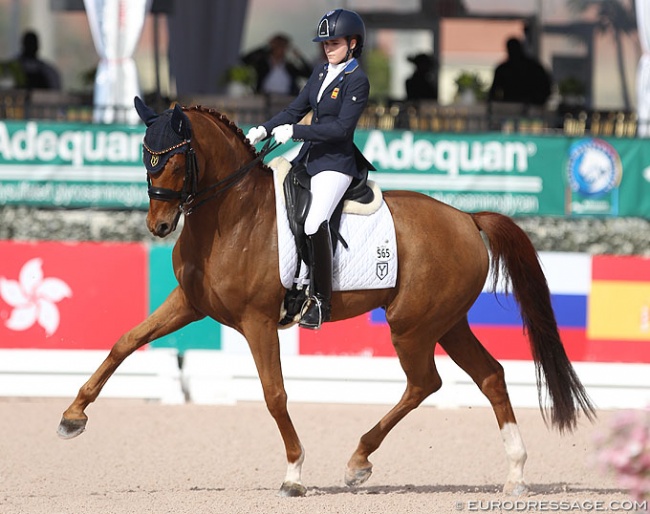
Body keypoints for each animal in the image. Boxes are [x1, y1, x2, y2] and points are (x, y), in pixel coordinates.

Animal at [59, 100, 592, 496]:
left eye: (172, 157)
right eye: (144, 155)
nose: (160, 225)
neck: (231, 214)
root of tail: (466, 217)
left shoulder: (256, 321)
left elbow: (274, 394)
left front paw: (294, 474)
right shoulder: (189, 304)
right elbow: (125, 341)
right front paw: (72, 417)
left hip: (411, 325)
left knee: (425, 383)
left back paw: (358, 461)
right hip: (446, 322)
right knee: (490, 376)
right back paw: (515, 474)